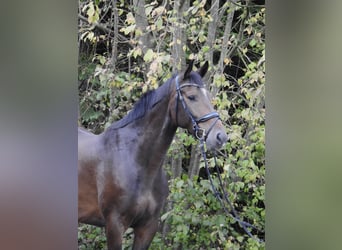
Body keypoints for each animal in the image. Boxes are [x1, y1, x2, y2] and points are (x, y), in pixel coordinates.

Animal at [79, 61, 228, 249]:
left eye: (208, 96)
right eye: (192, 97)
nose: (221, 137)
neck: (137, 162)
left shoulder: (147, 227)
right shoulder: (114, 225)